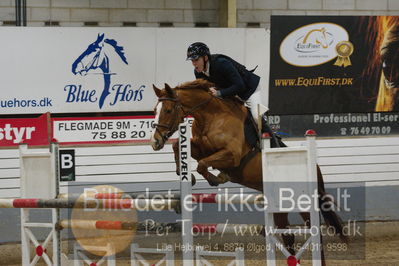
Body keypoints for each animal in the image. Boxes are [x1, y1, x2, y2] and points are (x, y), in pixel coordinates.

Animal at [152, 79, 346, 264]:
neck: (212, 116)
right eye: (155, 110)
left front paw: (217, 178)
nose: (155, 142)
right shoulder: (202, 148)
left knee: (314, 233)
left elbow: (202, 164)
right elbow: (180, 147)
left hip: (303, 202)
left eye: (168, 110)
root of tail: (314, 166)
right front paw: (184, 173)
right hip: (279, 203)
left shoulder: (232, 155)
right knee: (287, 235)